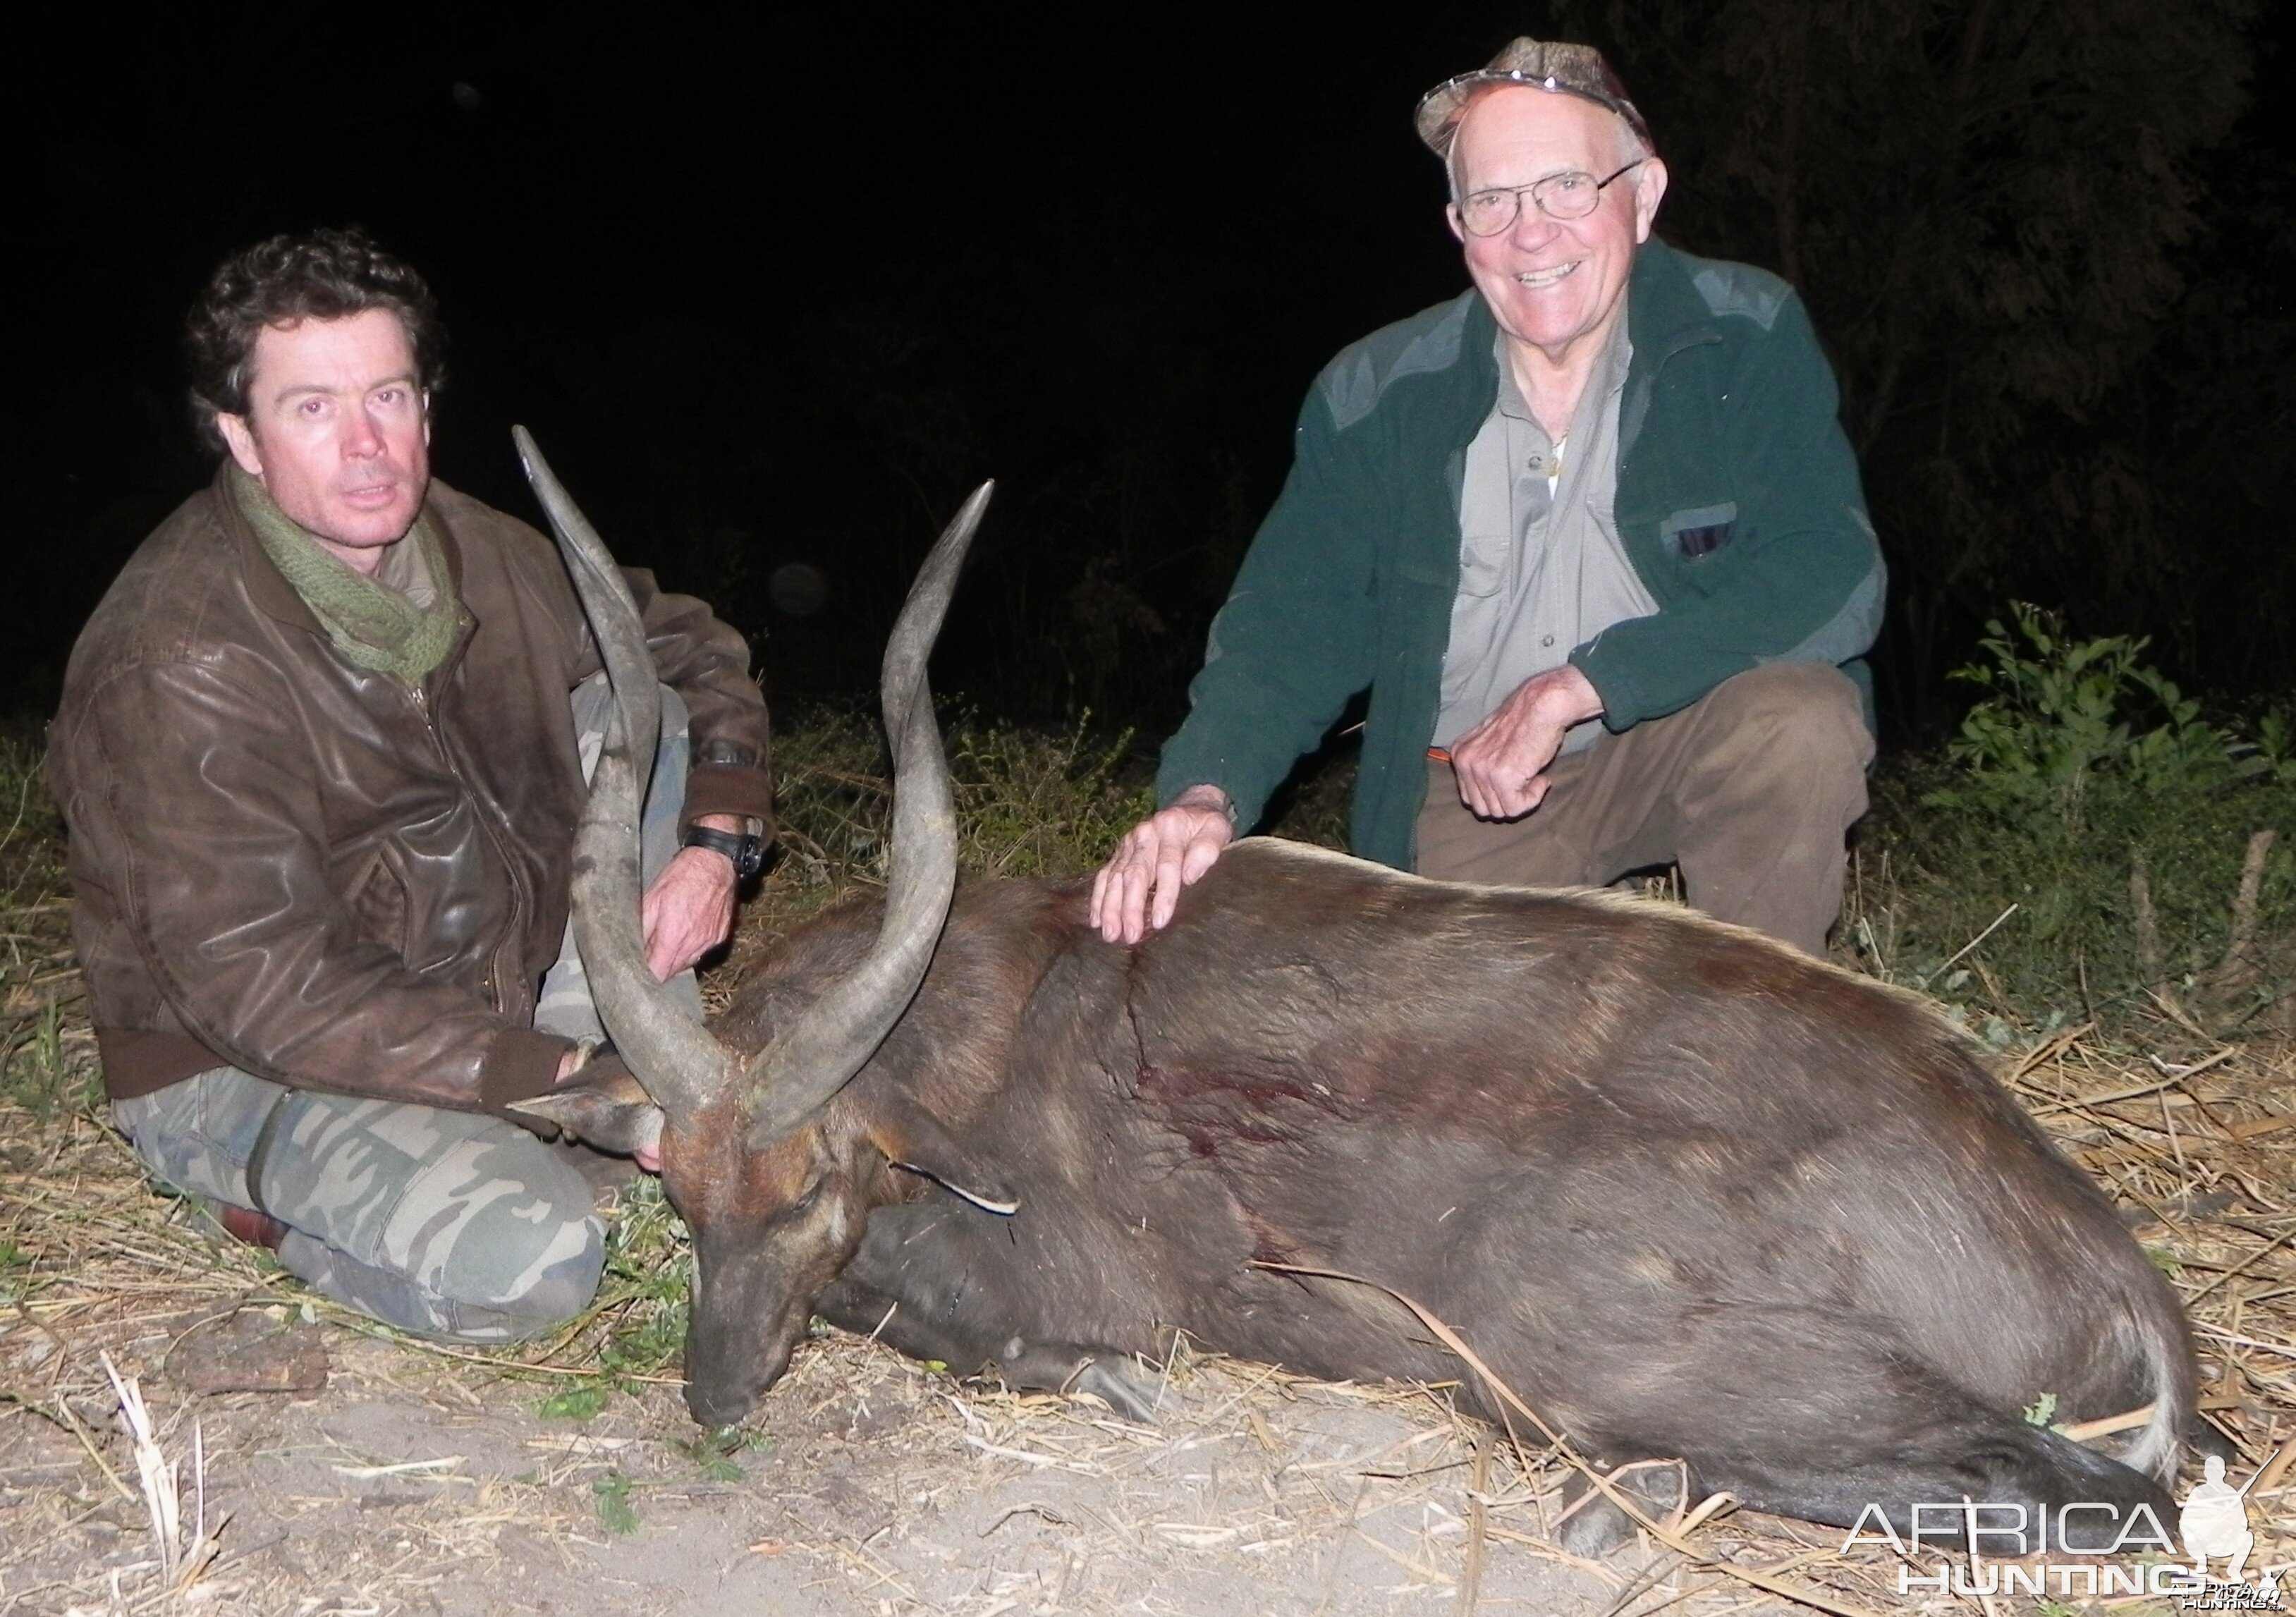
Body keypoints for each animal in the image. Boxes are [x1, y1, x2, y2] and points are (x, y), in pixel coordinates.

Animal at [512, 432, 2194, 1552]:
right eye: (682, 1200)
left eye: (809, 1198)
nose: (715, 1396)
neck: (981, 1014)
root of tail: (2111, 1273)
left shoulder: (1078, 1282)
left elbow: (961, 1322)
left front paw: (1102, 1383)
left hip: (1601, 1347)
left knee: (2108, 1495)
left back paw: (1624, 1492)